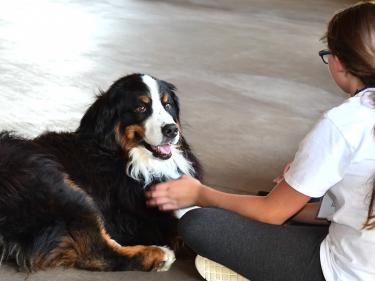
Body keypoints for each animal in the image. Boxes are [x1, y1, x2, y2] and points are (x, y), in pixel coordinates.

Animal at [0, 73, 201, 270]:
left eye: (167, 105)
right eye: (141, 108)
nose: (172, 129)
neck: (127, 158)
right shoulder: (133, 217)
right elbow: (182, 225)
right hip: (58, 187)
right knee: (98, 253)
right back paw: (158, 254)